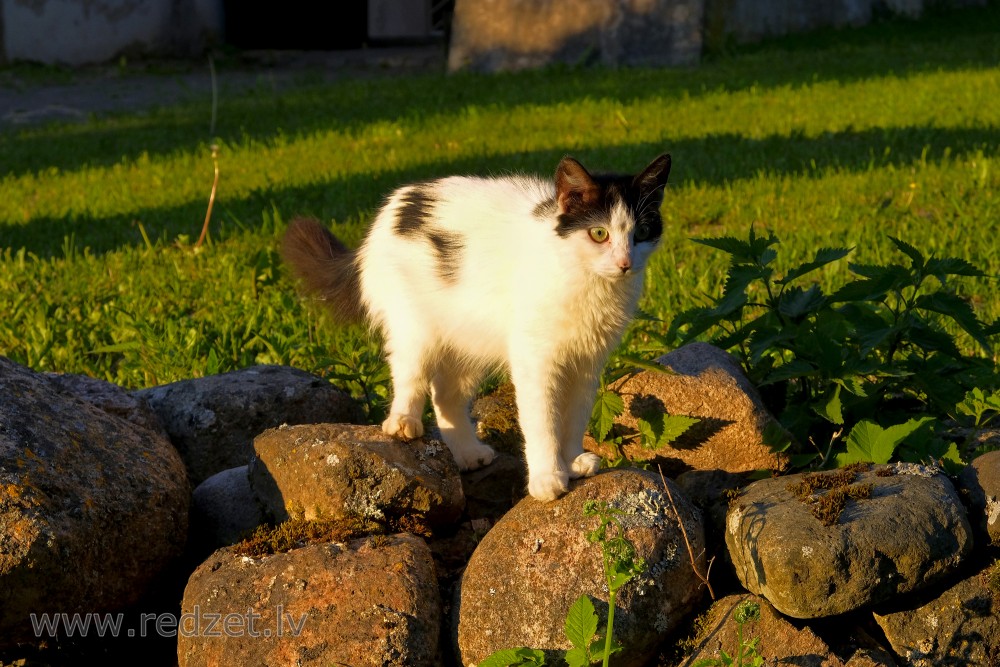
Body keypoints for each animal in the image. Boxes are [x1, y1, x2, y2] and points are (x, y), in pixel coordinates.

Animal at [282, 154, 672, 500]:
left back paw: (468, 454)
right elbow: (542, 421)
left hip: (469, 341)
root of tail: (394, 205)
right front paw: (547, 478)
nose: (624, 263)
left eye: (641, 233)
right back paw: (402, 423)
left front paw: (573, 461)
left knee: (446, 396)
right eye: (599, 233)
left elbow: (575, 417)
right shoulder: (535, 360)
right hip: (415, 327)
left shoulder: (588, 362)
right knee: (410, 375)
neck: (586, 281)